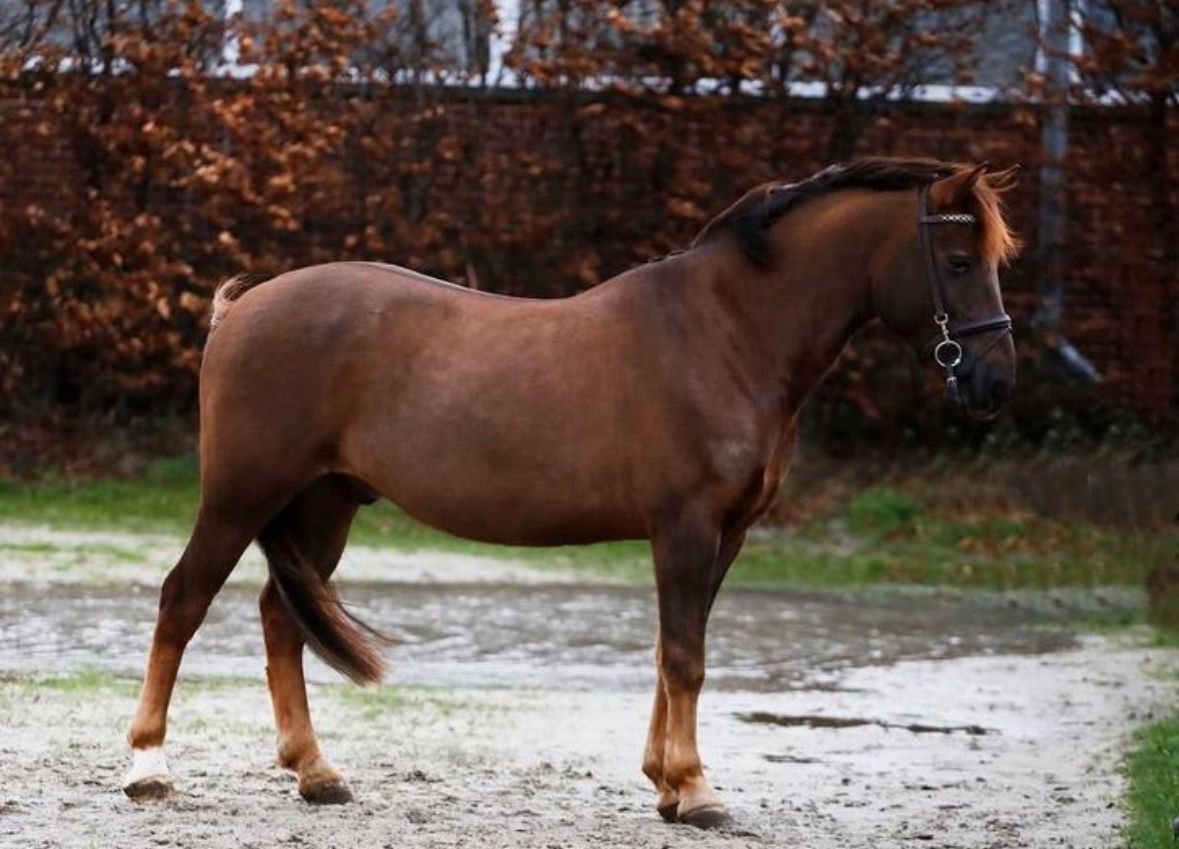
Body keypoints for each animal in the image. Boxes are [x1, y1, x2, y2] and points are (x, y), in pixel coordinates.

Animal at [122, 157, 1019, 829]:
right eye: (960, 262)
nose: (992, 381)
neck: (723, 334)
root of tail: (244, 306)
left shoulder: (724, 534)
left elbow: (671, 649)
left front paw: (665, 782)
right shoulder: (685, 527)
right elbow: (686, 655)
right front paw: (697, 789)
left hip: (325, 502)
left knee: (280, 618)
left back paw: (316, 772)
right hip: (241, 495)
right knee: (181, 599)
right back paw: (148, 766)